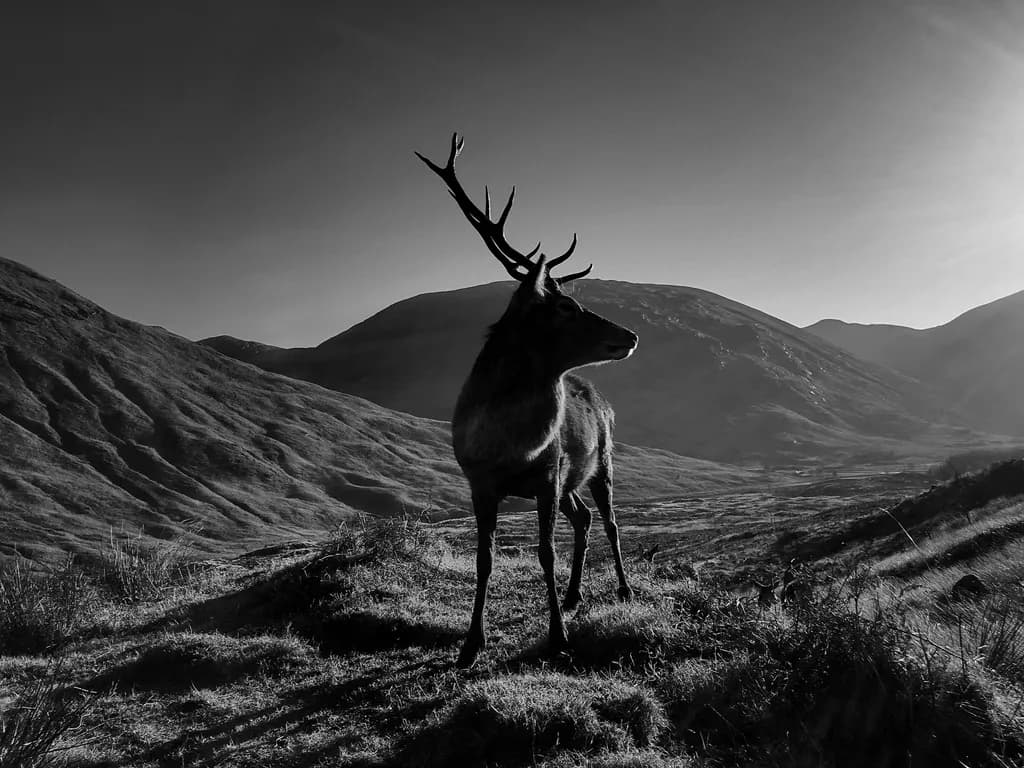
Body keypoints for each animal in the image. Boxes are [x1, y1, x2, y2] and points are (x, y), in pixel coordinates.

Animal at [416, 134, 640, 668]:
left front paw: (558, 638)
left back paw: (623, 590)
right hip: (571, 479)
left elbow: (545, 553)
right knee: (583, 518)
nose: (631, 335)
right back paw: (576, 595)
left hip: (600, 462)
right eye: (566, 306)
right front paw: (470, 644)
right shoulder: (479, 482)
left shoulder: (546, 475)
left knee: (610, 521)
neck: (511, 443)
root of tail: (601, 397)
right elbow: (485, 558)